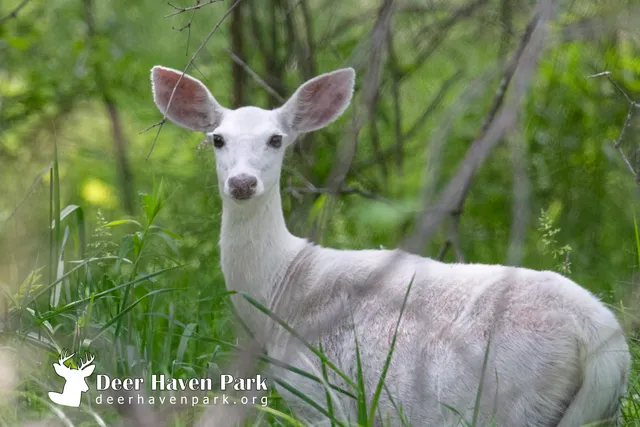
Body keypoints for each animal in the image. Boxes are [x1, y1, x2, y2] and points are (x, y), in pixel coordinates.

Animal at [150, 65, 630, 427]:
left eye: (276, 139)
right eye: (217, 139)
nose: (243, 183)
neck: (280, 287)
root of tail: (603, 342)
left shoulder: (316, 391)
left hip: (511, 400)